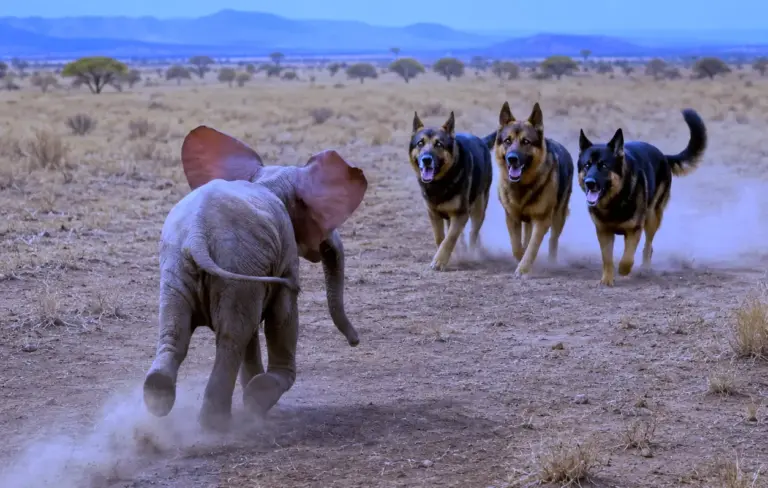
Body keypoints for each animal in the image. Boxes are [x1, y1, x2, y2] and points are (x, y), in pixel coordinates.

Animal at [142, 125, 368, 431]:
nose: (355, 342)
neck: (267, 180)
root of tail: (198, 235)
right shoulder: (284, 255)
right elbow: (283, 316)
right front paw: (257, 400)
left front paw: (255, 404)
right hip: (235, 262)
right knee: (231, 339)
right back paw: (215, 425)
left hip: (180, 266)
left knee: (175, 331)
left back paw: (160, 396)